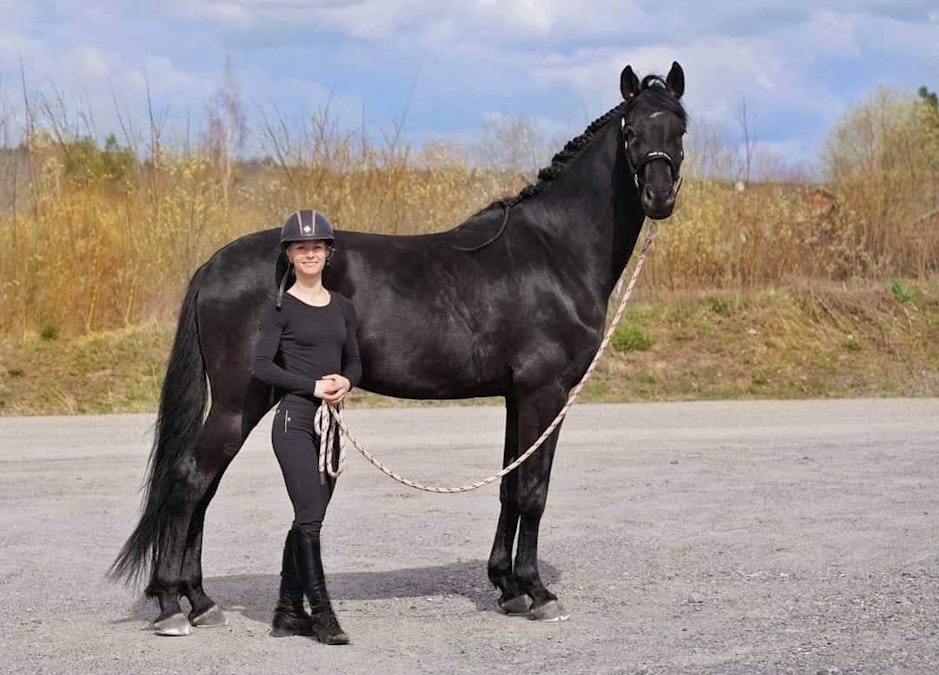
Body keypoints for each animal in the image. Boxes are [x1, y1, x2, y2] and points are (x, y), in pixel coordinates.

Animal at [114, 62, 688, 632]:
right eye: (631, 132)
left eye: (679, 128)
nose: (659, 198)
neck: (554, 252)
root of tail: (214, 265)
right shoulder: (546, 392)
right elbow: (533, 491)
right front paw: (538, 592)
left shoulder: (516, 395)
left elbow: (509, 485)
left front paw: (507, 588)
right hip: (241, 399)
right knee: (191, 479)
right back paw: (172, 605)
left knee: (203, 486)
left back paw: (198, 599)